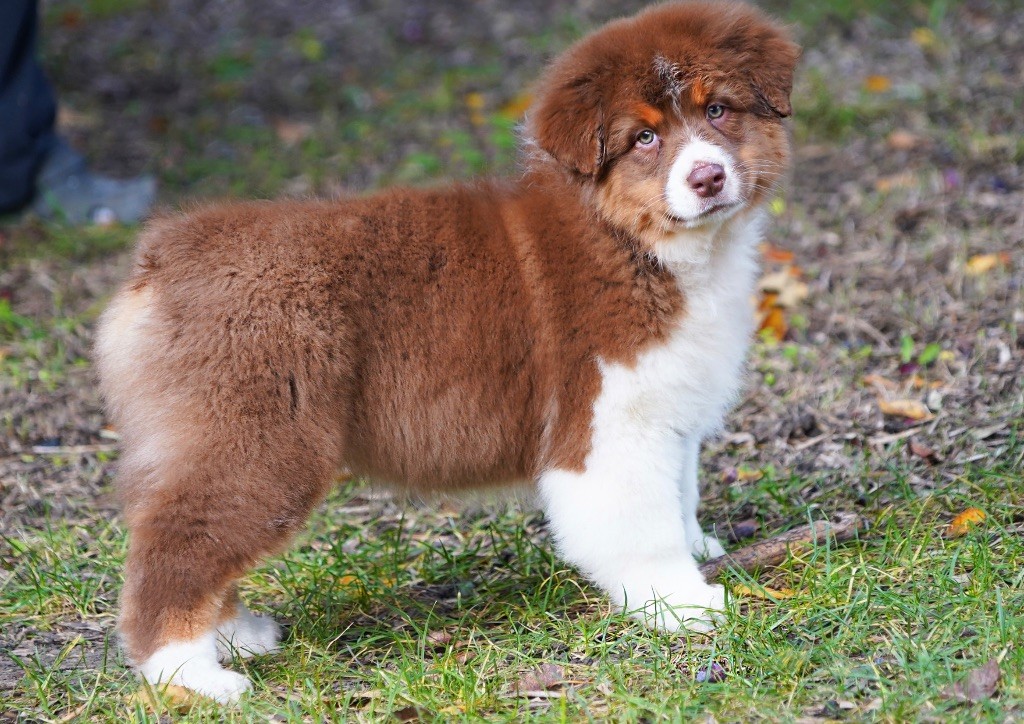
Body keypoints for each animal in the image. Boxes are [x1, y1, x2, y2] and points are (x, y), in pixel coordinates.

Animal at [96, 0, 798, 700]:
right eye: (644, 139)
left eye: (718, 110)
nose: (707, 177)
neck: (634, 241)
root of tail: (162, 257)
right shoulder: (606, 420)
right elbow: (643, 524)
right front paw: (683, 603)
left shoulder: (667, 406)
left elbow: (680, 492)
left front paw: (700, 550)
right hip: (259, 438)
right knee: (177, 545)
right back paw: (192, 676)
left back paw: (239, 636)